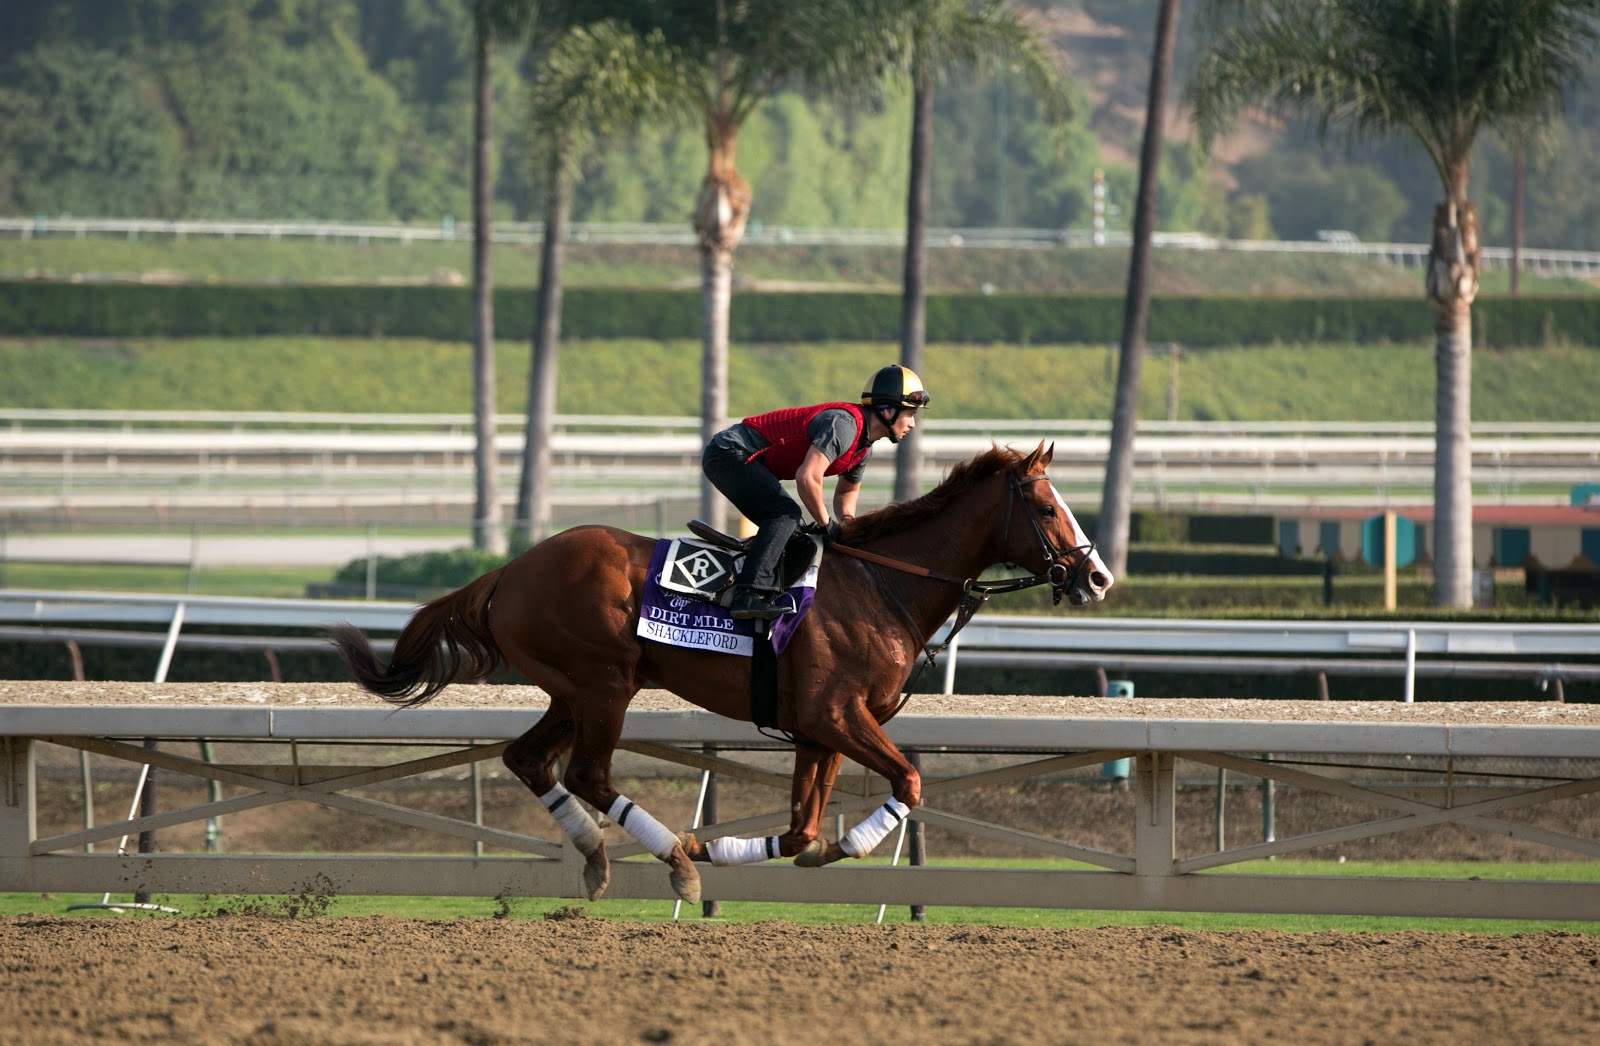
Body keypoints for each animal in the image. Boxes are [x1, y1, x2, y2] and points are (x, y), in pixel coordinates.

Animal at [328, 441, 1113, 905]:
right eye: (1046, 506)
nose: (1099, 578)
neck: (881, 584)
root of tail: (509, 570)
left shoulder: (817, 730)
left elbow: (800, 831)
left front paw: (759, 848)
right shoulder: (836, 715)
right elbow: (910, 782)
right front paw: (836, 845)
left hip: (572, 689)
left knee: (530, 759)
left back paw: (600, 858)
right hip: (605, 684)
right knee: (587, 773)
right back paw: (672, 857)